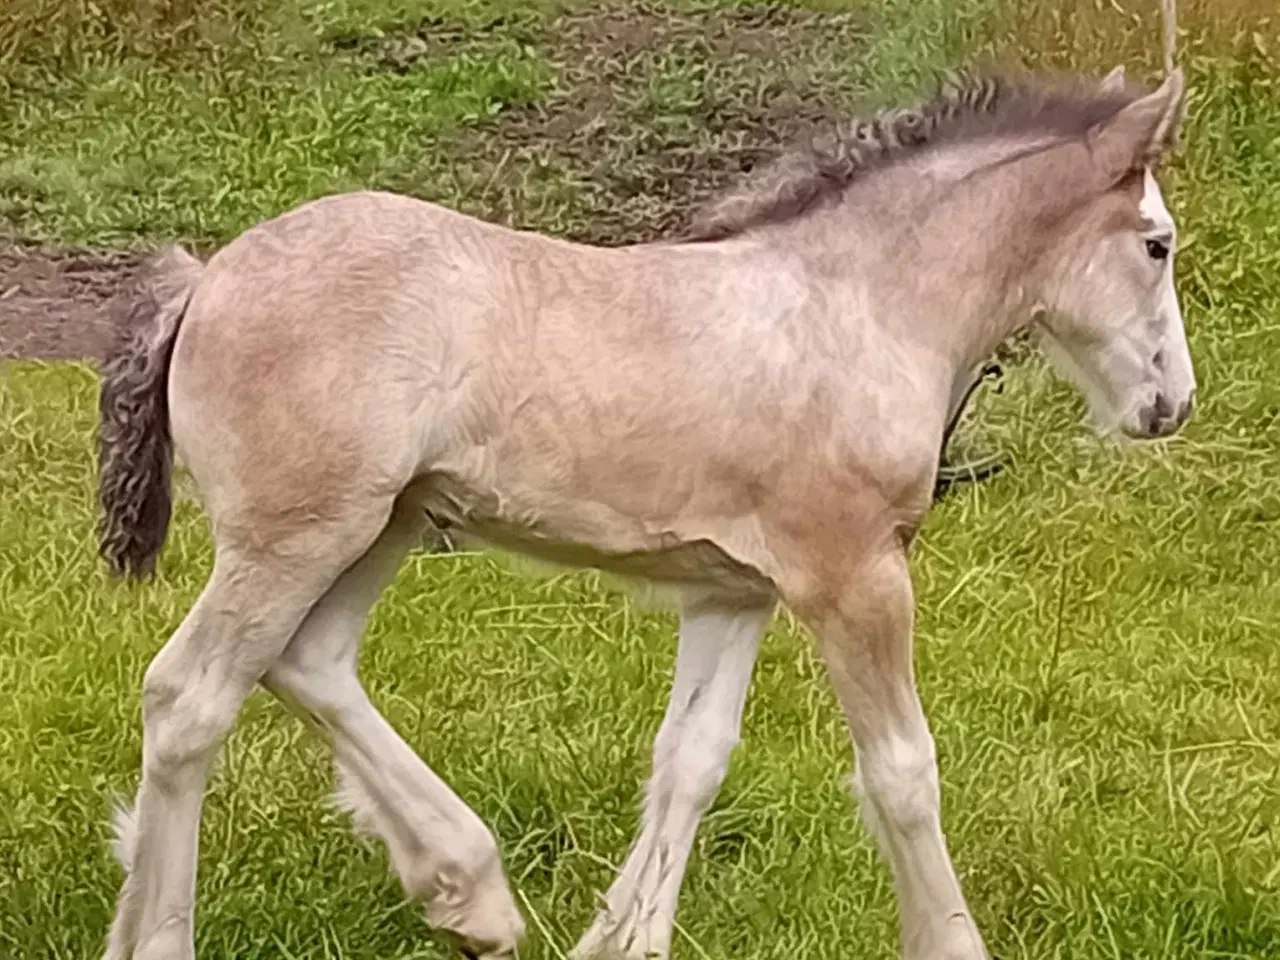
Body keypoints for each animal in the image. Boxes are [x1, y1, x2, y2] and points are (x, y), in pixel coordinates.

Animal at [97, 67, 1187, 960]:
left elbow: (690, 761)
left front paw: (622, 939)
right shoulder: (854, 576)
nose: (1169, 402)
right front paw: (949, 942)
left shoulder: (732, 591)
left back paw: (468, 895)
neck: (856, 310)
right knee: (188, 699)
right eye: (1156, 245)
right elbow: (901, 772)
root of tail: (205, 278)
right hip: (295, 537)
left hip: (379, 525)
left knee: (308, 663)